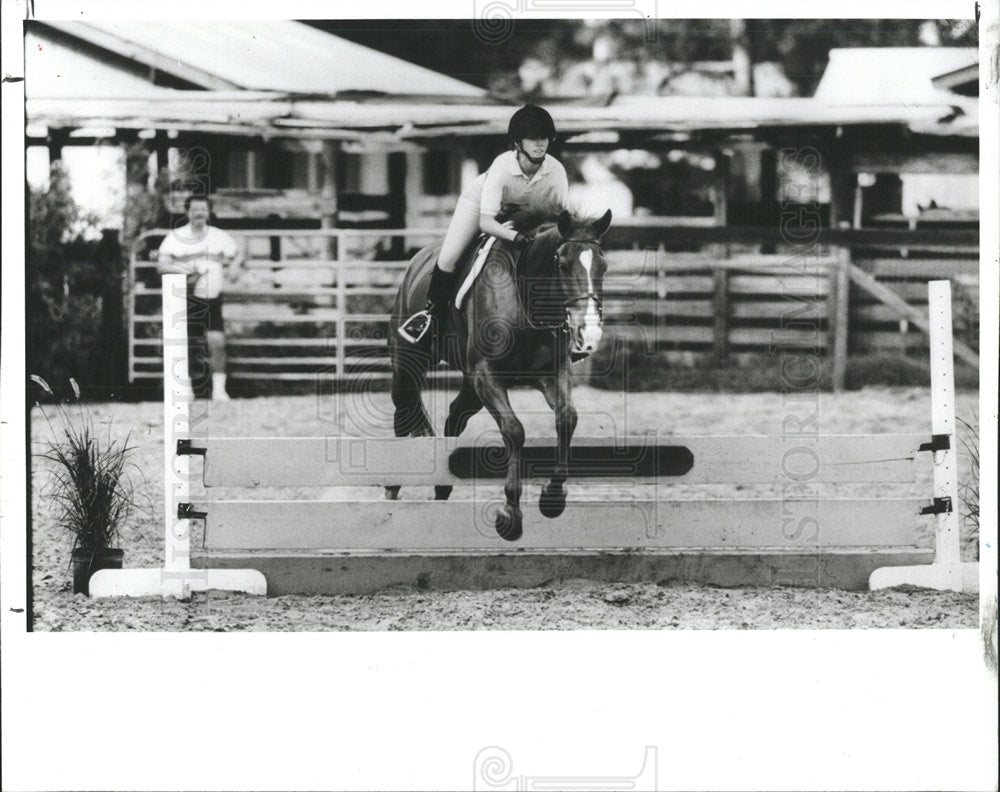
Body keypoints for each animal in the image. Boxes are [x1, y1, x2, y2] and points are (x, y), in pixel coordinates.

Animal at [388, 204, 608, 540]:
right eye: (562, 264)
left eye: (603, 267)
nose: (590, 335)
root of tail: (416, 261)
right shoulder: (486, 373)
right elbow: (514, 431)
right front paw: (510, 514)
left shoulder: (551, 372)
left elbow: (567, 419)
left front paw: (553, 498)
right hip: (409, 363)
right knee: (403, 411)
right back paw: (391, 489)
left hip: (470, 387)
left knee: (454, 418)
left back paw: (442, 483)